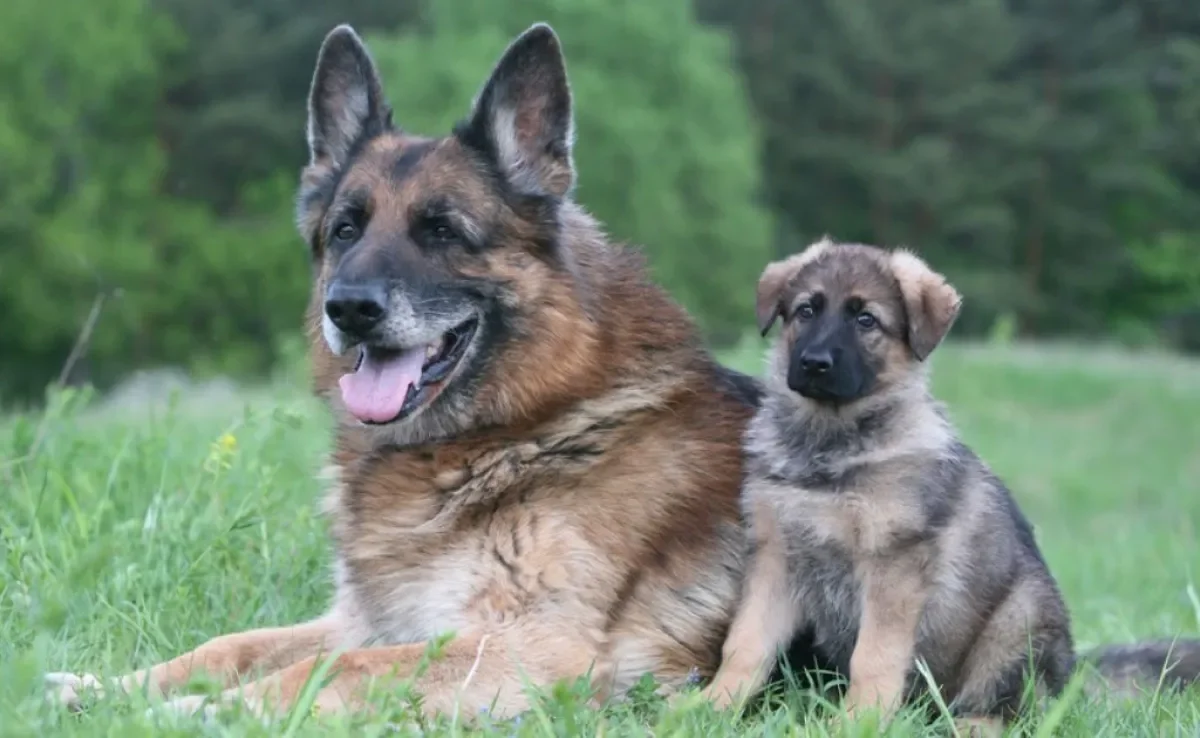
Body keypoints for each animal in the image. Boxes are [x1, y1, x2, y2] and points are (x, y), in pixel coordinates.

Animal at [46, 21, 763, 720]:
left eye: (442, 231)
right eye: (345, 230)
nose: (349, 309)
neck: (518, 425)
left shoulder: (534, 647)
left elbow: (332, 669)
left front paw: (198, 711)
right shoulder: (363, 621)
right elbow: (228, 646)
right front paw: (106, 688)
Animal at [700, 240, 1200, 729]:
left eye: (866, 320)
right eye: (806, 310)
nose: (814, 363)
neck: (830, 443)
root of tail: (1072, 673)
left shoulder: (894, 567)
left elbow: (873, 656)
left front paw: (858, 720)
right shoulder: (775, 558)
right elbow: (745, 643)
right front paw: (713, 705)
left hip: (1016, 624)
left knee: (1007, 710)